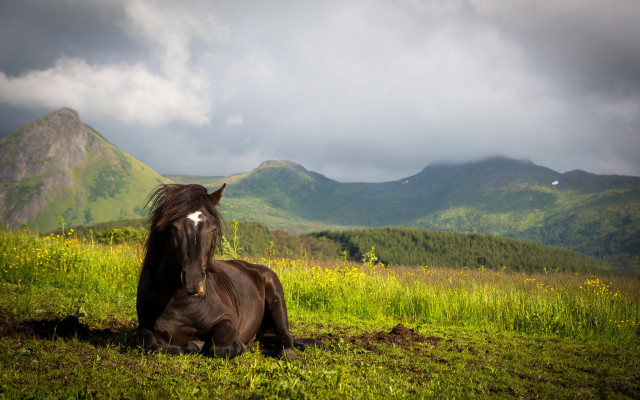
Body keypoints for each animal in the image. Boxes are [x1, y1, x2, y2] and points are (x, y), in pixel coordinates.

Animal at [135, 183, 315, 359]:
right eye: (174, 227)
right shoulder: (144, 325)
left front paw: (238, 346)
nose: (194, 280)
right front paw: (191, 345)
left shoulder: (228, 320)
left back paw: (287, 352)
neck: (179, 302)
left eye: (213, 229)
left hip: (276, 295)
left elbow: (217, 347)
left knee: (284, 334)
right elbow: (148, 343)